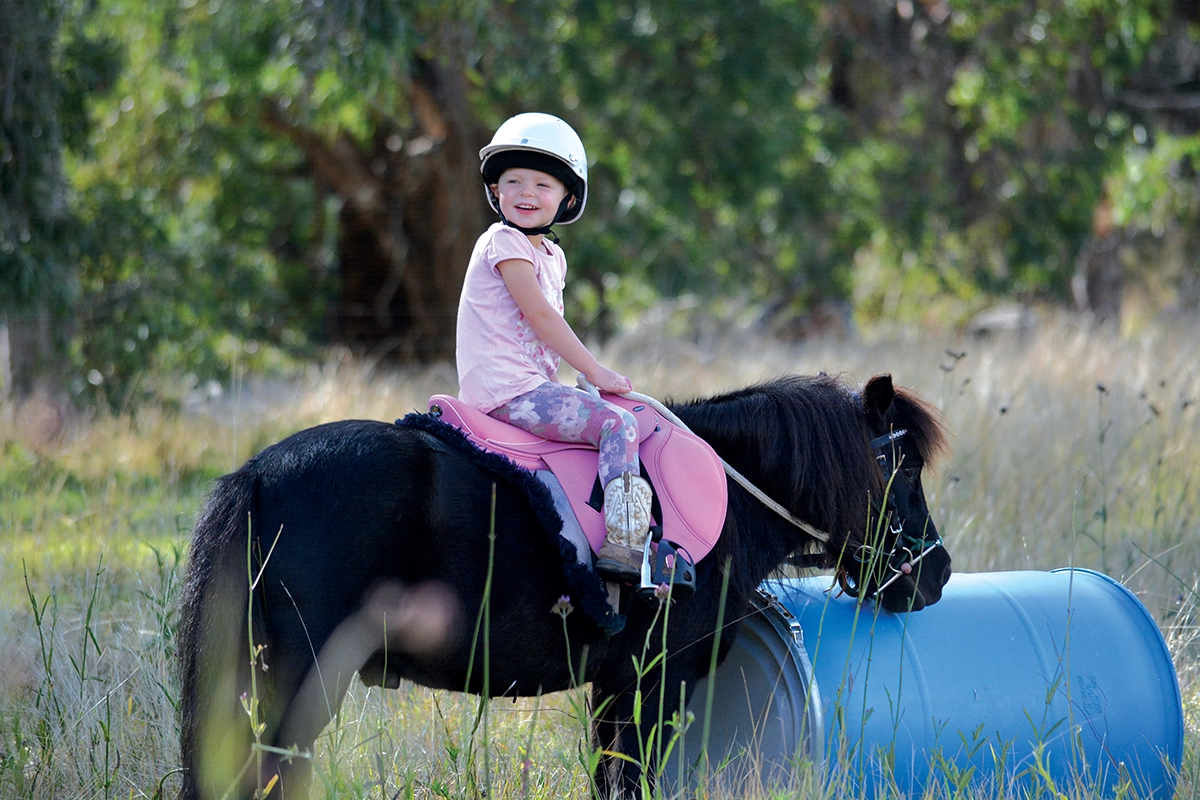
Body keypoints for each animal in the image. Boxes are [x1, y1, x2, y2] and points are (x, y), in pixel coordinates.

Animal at [176, 372, 951, 800]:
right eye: (905, 467)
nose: (937, 573)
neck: (729, 492)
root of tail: (257, 476)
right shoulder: (655, 680)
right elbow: (632, 779)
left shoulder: (613, 686)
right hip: (290, 686)